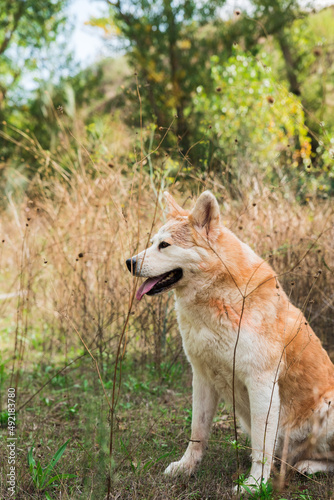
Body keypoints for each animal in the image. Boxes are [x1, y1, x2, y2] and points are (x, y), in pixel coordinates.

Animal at [126, 191, 334, 492]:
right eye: (152, 243)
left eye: (164, 245)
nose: (129, 262)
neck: (218, 298)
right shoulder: (201, 377)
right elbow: (198, 432)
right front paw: (187, 467)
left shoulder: (261, 383)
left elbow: (261, 445)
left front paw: (255, 484)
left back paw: (308, 466)